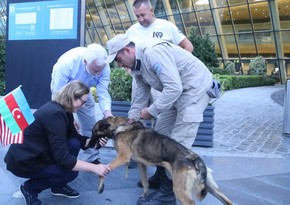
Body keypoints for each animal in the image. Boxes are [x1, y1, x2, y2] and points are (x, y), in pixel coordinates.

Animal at [89, 117, 232, 205]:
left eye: (94, 131)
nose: (88, 144)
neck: (120, 126)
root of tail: (195, 158)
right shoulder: (142, 164)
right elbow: (145, 182)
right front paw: (145, 195)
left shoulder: (122, 158)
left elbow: (104, 170)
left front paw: (100, 186)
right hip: (212, 188)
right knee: (228, 201)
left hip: (180, 190)